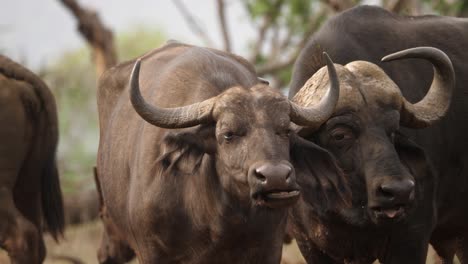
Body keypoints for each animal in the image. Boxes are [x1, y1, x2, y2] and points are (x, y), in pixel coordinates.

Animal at [96, 41, 352, 264]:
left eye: (285, 130)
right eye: (228, 134)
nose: (276, 177)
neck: (218, 219)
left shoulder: (269, 249)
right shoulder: (151, 252)